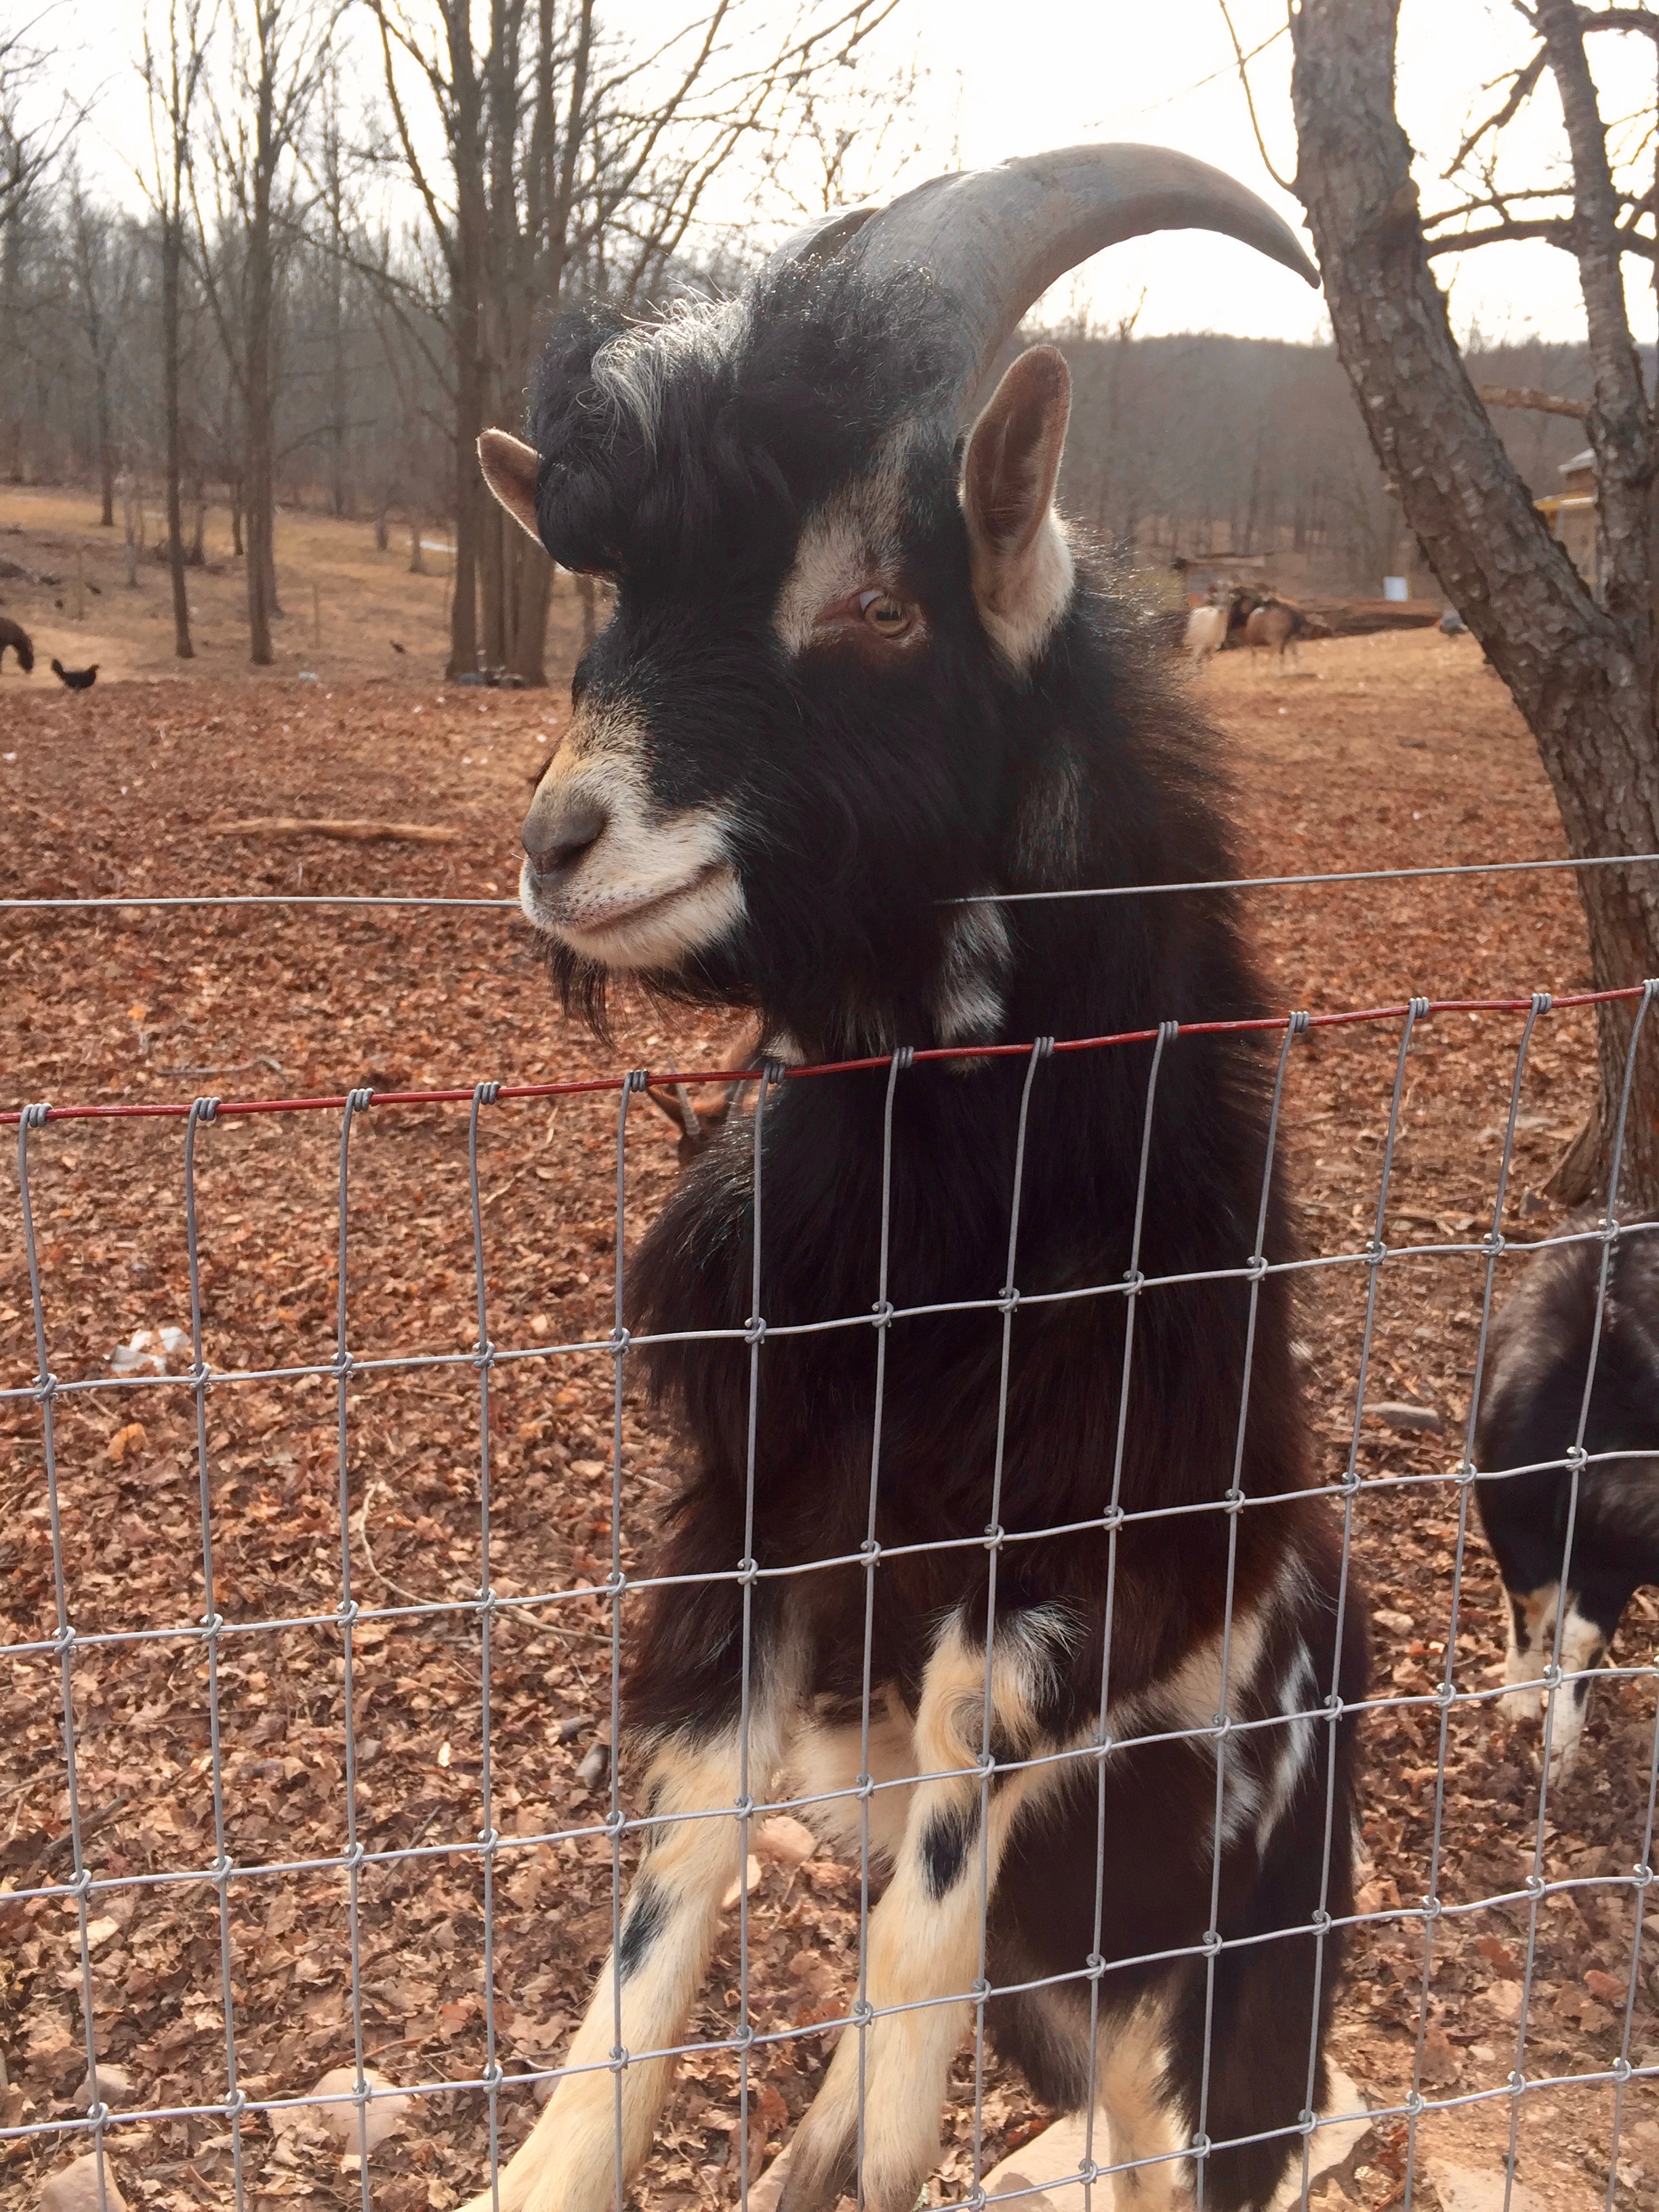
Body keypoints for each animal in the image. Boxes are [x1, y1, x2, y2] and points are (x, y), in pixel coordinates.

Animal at [475, 143, 1367, 2212]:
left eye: (879, 601)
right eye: (606, 599)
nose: (565, 840)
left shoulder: (1083, 1555)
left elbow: (940, 1834)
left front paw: (882, 2133)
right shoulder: (758, 1504)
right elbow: (685, 1852)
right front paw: (550, 2168)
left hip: (1222, 1984)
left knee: (1178, 2137)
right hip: (1080, 1986)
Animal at [1475, 1216, 1659, 1782]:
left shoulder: (1616, 1567)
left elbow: (1584, 1642)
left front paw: (1559, 1756)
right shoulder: (1512, 1532)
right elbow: (1531, 1607)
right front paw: (1519, 1705)